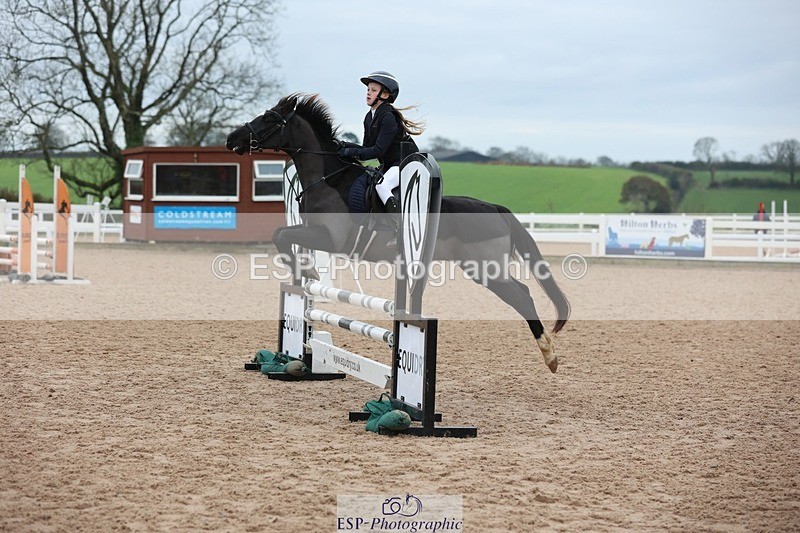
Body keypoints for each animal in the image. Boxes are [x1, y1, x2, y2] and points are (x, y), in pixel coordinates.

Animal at [226, 93, 570, 373]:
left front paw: (307, 271)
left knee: (522, 295)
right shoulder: (310, 232)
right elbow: (282, 234)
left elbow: (282, 236)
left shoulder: (331, 239)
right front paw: (305, 275)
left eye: (270, 119)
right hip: (480, 268)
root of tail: (497, 209)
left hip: (487, 267)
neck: (327, 179)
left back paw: (550, 356)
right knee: (521, 292)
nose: (231, 138)